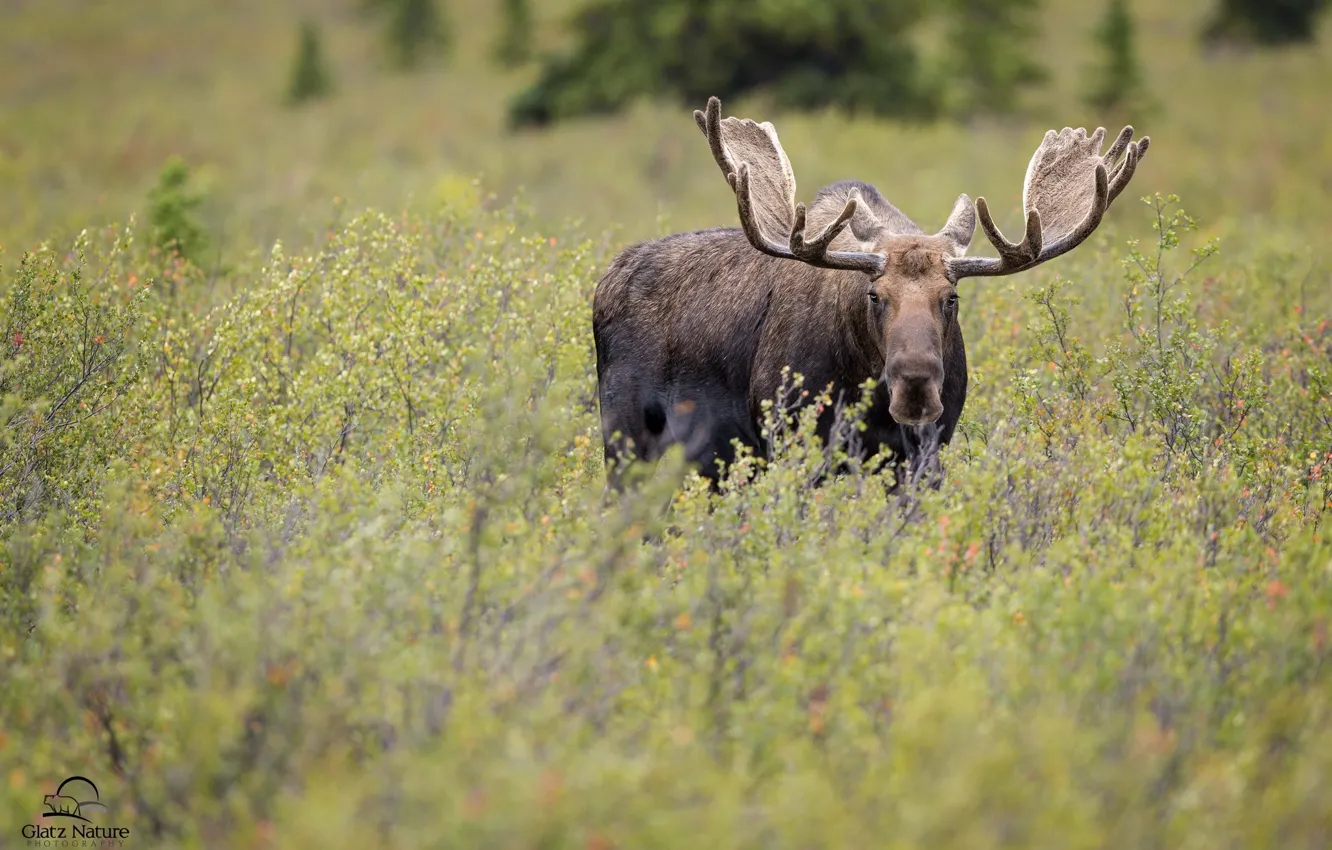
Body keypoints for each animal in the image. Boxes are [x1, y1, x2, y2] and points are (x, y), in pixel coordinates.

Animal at [591, 97, 1145, 490]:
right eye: (874, 295)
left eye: (951, 298)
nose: (916, 384)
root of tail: (605, 281)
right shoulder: (792, 441)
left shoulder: (924, 455)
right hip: (625, 440)